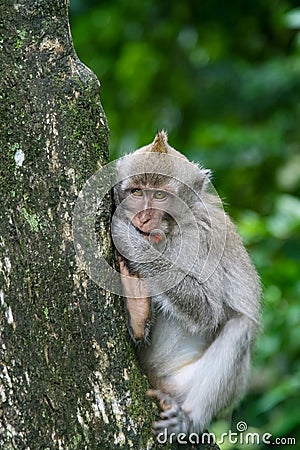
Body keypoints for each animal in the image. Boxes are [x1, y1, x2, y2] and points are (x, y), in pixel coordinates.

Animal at [110, 130, 260, 436]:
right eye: (136, 192)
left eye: (159, 195)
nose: (143, 217)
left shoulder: (201, 238)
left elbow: (207, 311)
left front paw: (130, 240)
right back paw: (138, 310)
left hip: (179, 387)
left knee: (240, 328)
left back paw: (190, 419)